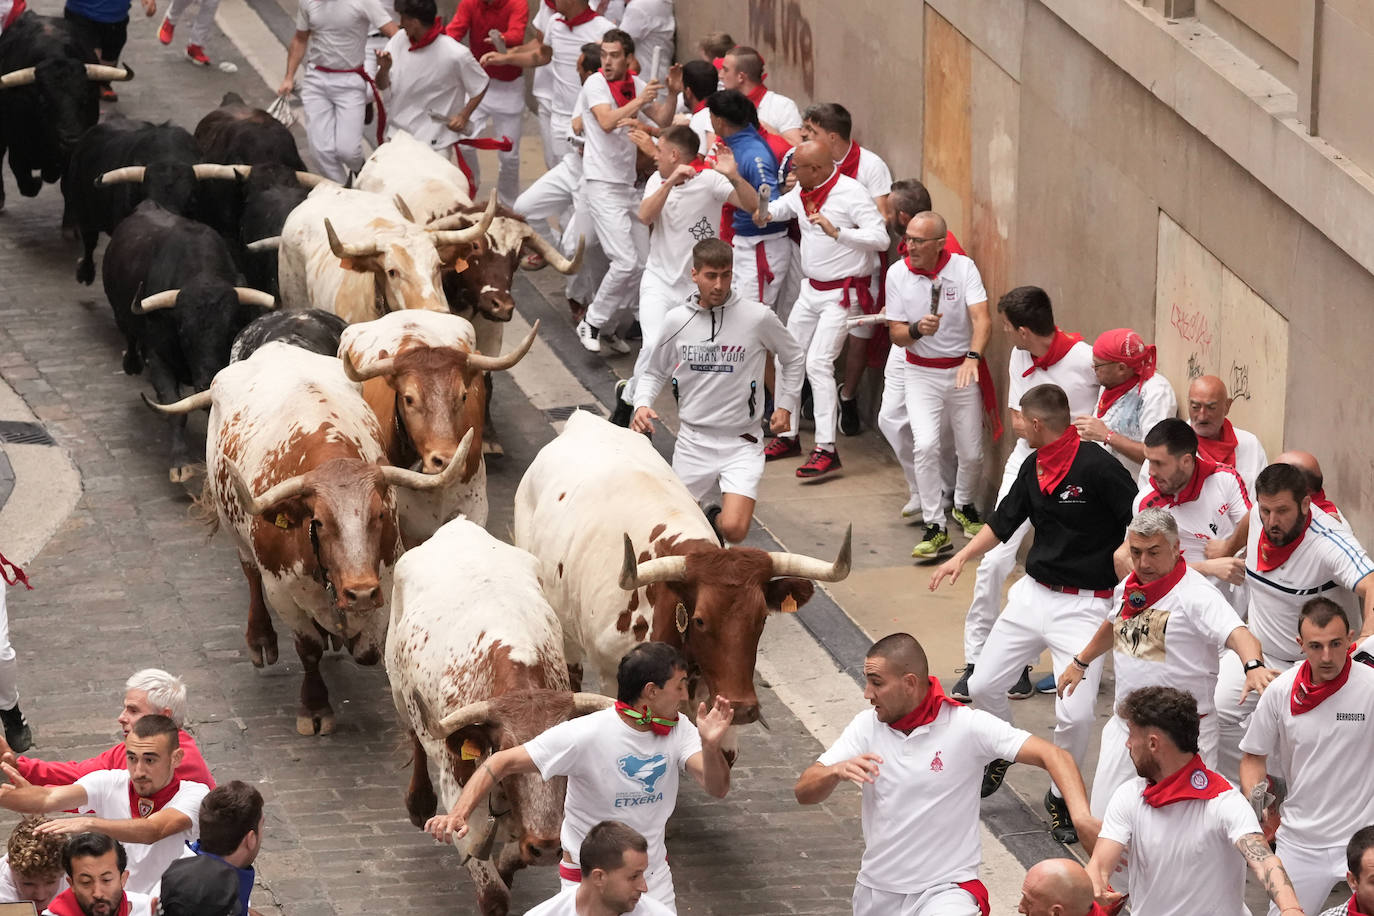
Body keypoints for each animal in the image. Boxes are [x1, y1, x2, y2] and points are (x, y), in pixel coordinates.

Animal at [149, 340, 472, 736]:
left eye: (380, 514)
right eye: (317, 522)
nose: (360, 592)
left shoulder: (385, 577)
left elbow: (367, 649)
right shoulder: (282, 590)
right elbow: (308, 648)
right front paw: (315, 708)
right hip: (236, 533)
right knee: (249, 574)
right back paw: (261, 638)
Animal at [381, 519, 607, 911]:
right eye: (504, 751)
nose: (547, 848)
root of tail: (458, 526)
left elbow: (512, 858)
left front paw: (509, 863)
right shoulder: (458, 793)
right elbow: (493, 892)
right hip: (399, 691)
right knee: (414, 736)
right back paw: (419, 802)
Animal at [516, 414, 846, 747]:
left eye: (763, 618)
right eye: (699, 620)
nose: (743, 709)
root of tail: (584, 419)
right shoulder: (612, 681)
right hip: (565, 629)